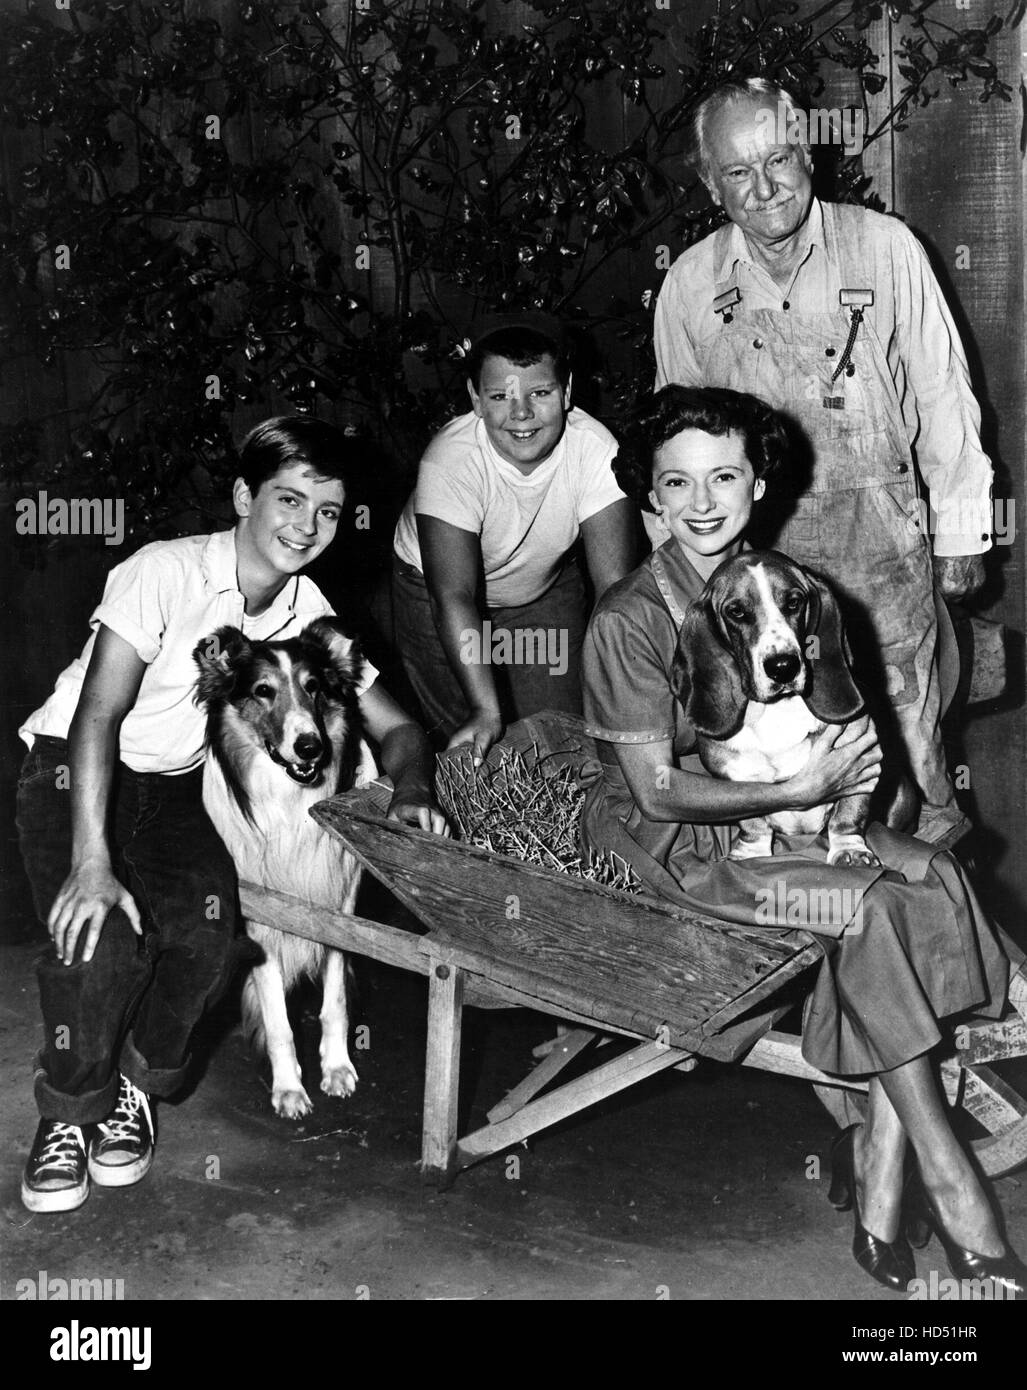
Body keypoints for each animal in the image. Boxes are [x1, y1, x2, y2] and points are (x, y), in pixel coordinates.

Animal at [190, 619, 375, 1117]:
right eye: (262, 690)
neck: (289, 806)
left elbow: (336, 1000)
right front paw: (290, 1088)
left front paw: (337, 1068)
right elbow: (279, 1022)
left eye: (314, 687)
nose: (309, 747)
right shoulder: (260, 923)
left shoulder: (337, 902)